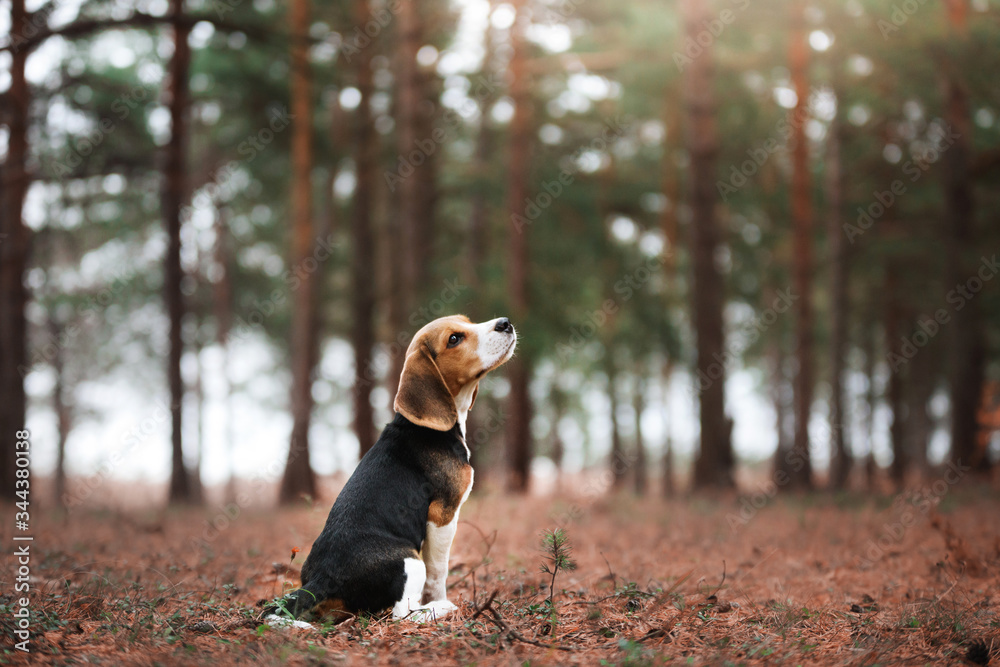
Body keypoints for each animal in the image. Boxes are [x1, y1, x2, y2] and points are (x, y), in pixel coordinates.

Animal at [268, 316, 516, 624]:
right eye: (454, 339)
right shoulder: (443, 515)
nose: (505, 323)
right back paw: (442, 608)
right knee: (402, 613)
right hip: (409, 560)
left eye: (468, 321)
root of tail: (321, 579)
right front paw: (439, 599)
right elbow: (439, 571)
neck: (429, 427)